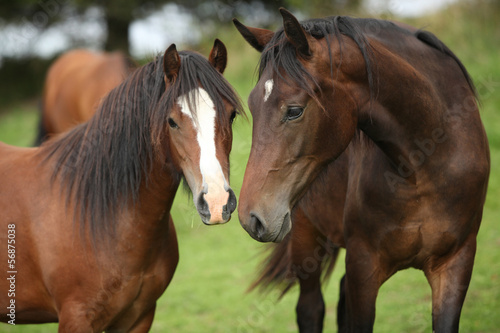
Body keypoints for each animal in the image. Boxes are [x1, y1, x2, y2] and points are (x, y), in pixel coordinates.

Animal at [234, 8, 488, 332]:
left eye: (294, 111)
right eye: (252, 106)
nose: (250, 218)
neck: (425, 168)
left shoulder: (457, 263)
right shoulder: (363, 266)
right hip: (305, 237)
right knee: (310, 308)